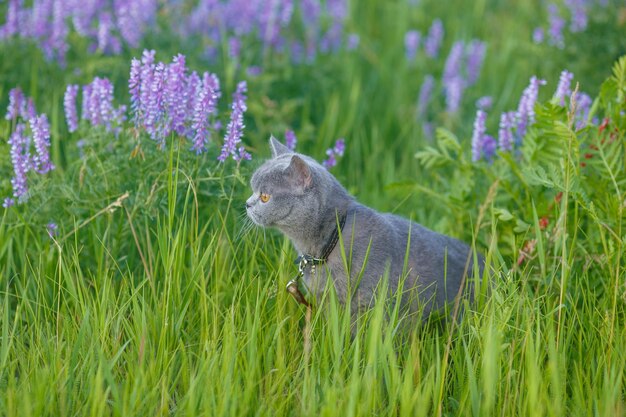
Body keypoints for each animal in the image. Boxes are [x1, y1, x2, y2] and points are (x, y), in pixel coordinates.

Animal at [246, 136, 480, 318]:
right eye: (252, 190)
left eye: (264, 196)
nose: (246, 204)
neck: (330, 240)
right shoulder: (327, 301)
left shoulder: (374, 302)